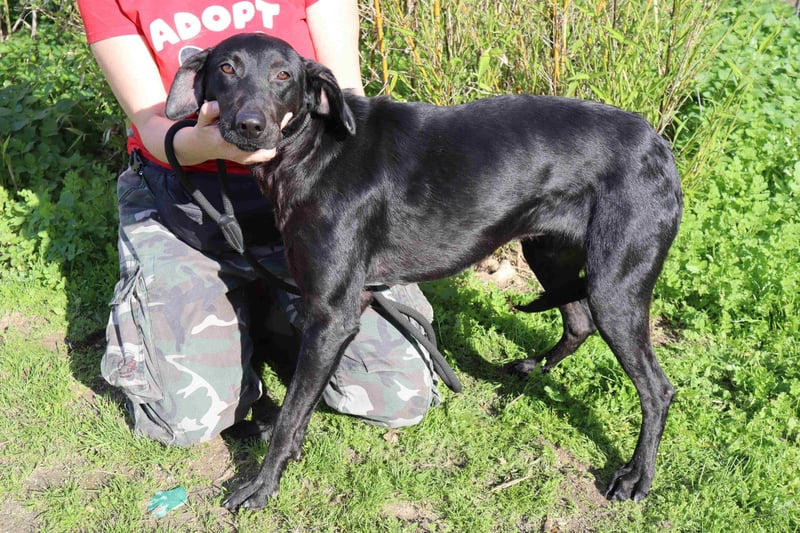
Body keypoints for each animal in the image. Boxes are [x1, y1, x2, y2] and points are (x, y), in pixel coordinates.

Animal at [165, 33, 683, 511]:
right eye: (227, 68)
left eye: (283, 75)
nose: (249, 126)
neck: (315, 150)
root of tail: (660, 144)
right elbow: (297, 408)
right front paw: (282, 454)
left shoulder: (332, 316)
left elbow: (292, 410)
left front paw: (261, 485)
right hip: (550, 254)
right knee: (578, 321)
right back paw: (531, 371)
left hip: (615, 287)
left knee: (658, 389)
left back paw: (636, 477)